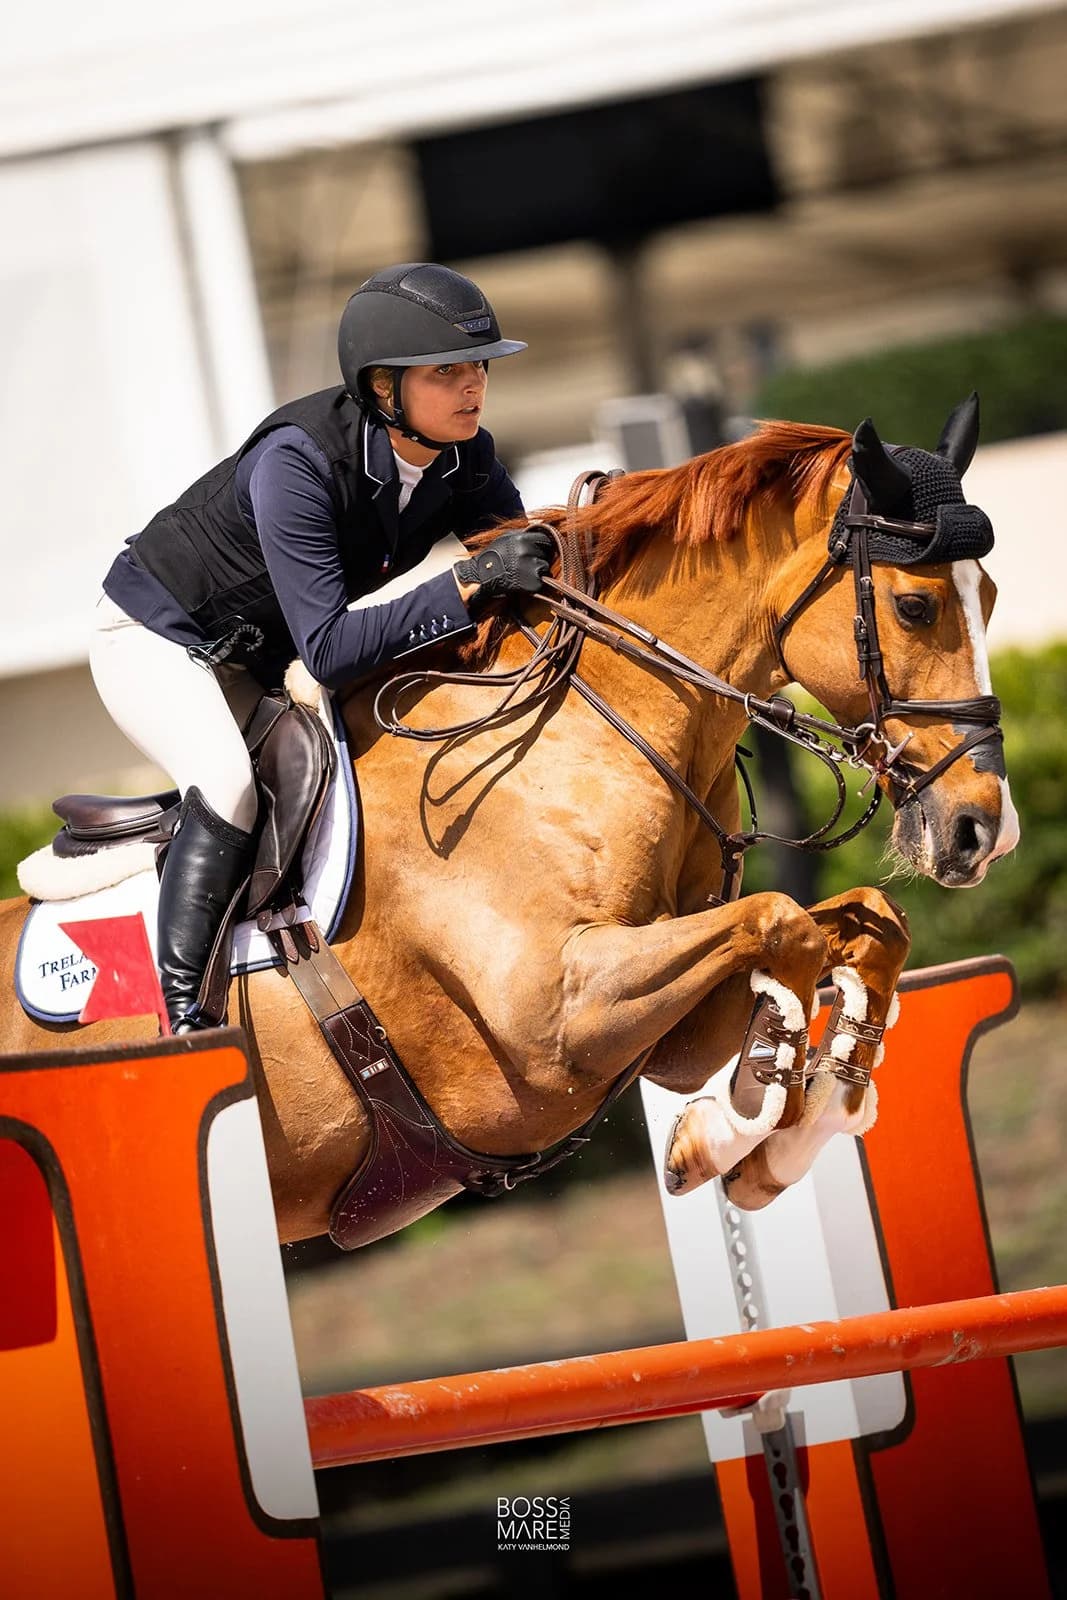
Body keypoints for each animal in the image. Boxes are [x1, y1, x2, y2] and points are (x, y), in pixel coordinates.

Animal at [0, 399, 1018, 1242]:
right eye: (915, 605)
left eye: (992, 597)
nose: (984, 831)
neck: (588, 728)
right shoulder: (554, 1019)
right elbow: (782, 924)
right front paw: (735, 1129)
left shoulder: (657, 1017)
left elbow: (856, 927)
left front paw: (773, 1134)